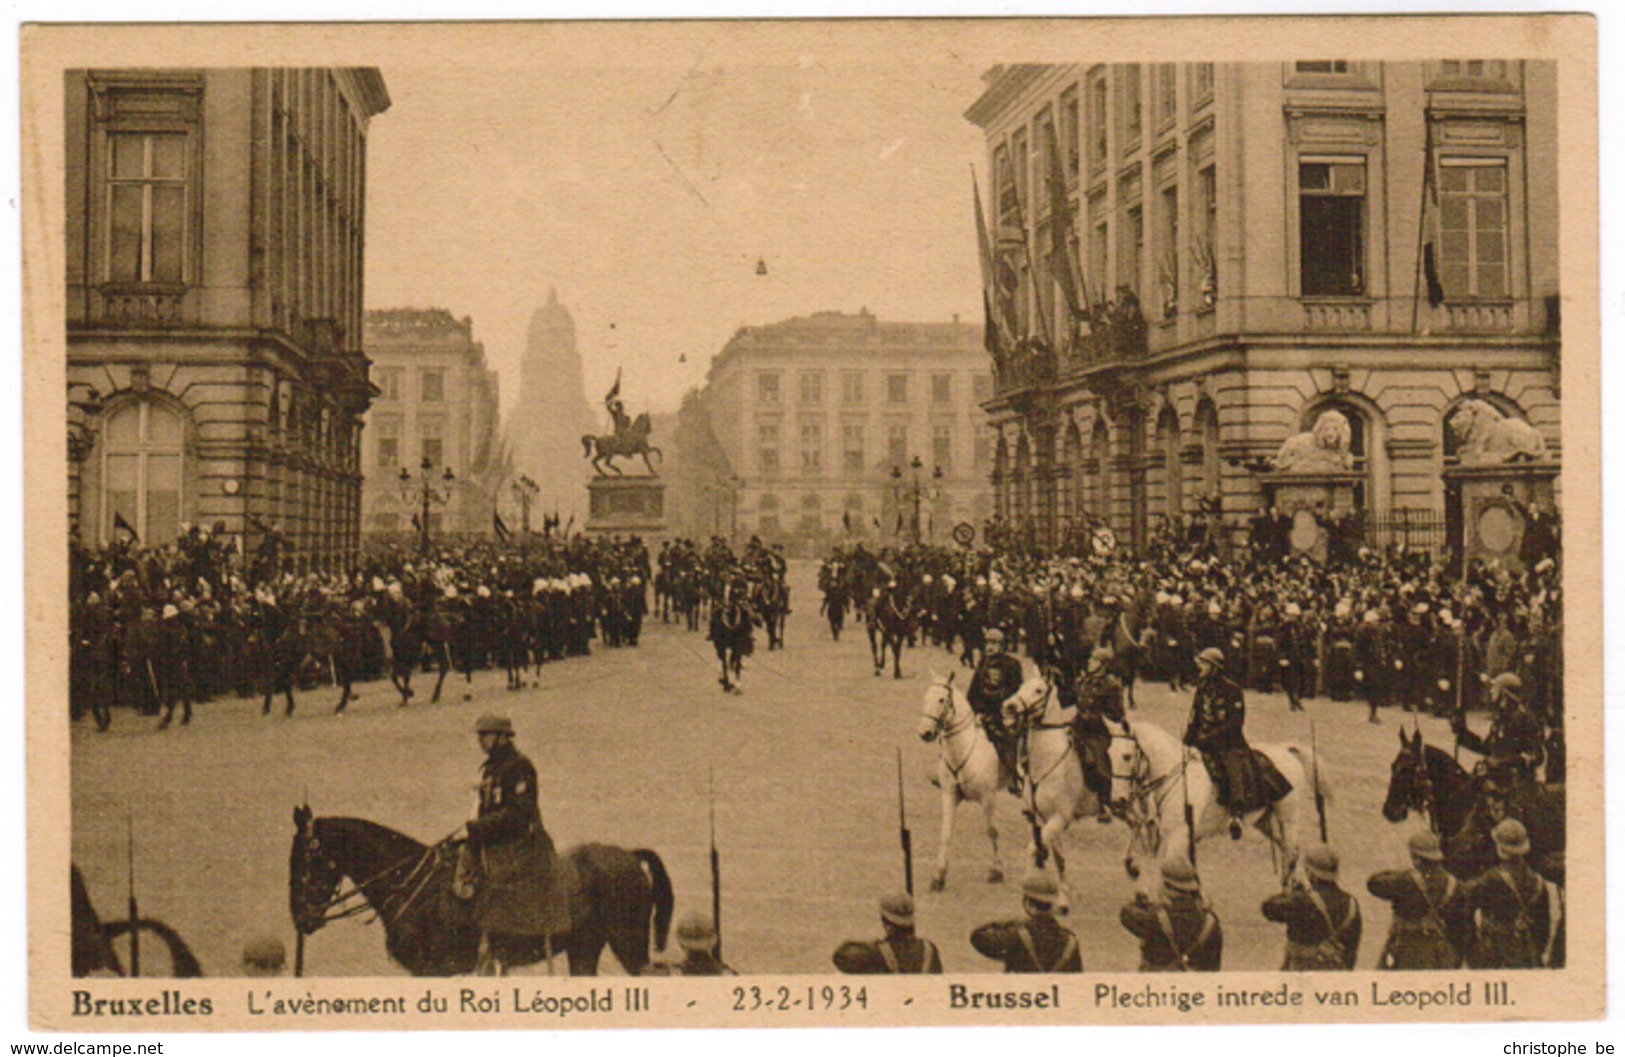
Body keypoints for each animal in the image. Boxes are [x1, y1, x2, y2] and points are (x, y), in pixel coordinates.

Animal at [292, 806, 672, 969]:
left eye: (307, 860)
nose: (299, 918)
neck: (417, 890)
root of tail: (628, 855)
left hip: (628, 943)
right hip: (584, 948)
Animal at [923, 669, 1007, 884]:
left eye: (941, 699)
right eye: (925, 697)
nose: (924, 733)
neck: (965, 749)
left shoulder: (988, 797)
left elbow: (992, 831)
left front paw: (996, 870)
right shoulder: (949, 794)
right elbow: (945, 833)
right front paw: (939, 876)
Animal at [994, 669, 1098, 891]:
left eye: (1039, 690)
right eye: (1021, 686)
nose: (1008, 707)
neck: (1048, 761)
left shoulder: (1059, 818)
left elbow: (1036, 847)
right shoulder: (1041, 818)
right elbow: (1056, 856)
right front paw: (1063, 889)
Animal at [1105, 712, 1332, 884]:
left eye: (1126, 756)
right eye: (1108, 755)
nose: (1118, 801)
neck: (1177, 778)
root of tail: (1285, 751)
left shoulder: (1178, 835)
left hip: (1288, 816)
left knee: (1292, 852)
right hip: (1266, 822)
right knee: (1285, 850)